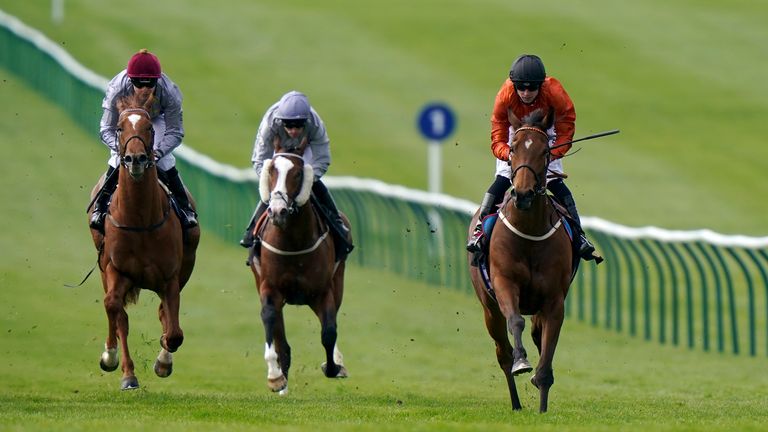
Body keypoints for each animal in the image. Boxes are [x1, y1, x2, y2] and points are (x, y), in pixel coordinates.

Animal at [87, 93, 201, 392]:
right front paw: (111, 358)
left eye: (149, 128)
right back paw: (125, 372)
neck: (139, 220)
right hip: (104, 269)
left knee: (164, 316)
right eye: (119, 128)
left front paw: (163, 362)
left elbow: (173, 332)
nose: (135, 159)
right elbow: (113, 308)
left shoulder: (170, 278)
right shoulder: (115, 270)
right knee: (119, 316)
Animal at [249, 137, 352, 394]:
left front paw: (333, 366)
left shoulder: (321, 292)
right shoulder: (269, 287)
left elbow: (329, 332)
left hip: (337, 281)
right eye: (272, 170)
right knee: (281, 339)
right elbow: (269, 319)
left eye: (297, 173)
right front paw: (275, 377)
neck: (293, 242)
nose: (278, 211)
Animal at [468, 107, 576, 412]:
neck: (529, 232)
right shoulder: (504, 283)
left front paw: (542, 402)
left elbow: (547, 351)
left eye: (545, 151)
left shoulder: (554, 300)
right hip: (489, 310)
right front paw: (522, 362)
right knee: (502, 353)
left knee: (538, 335)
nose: (524, 194)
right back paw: (515, 402)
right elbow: (515, 322)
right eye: (513, 148)